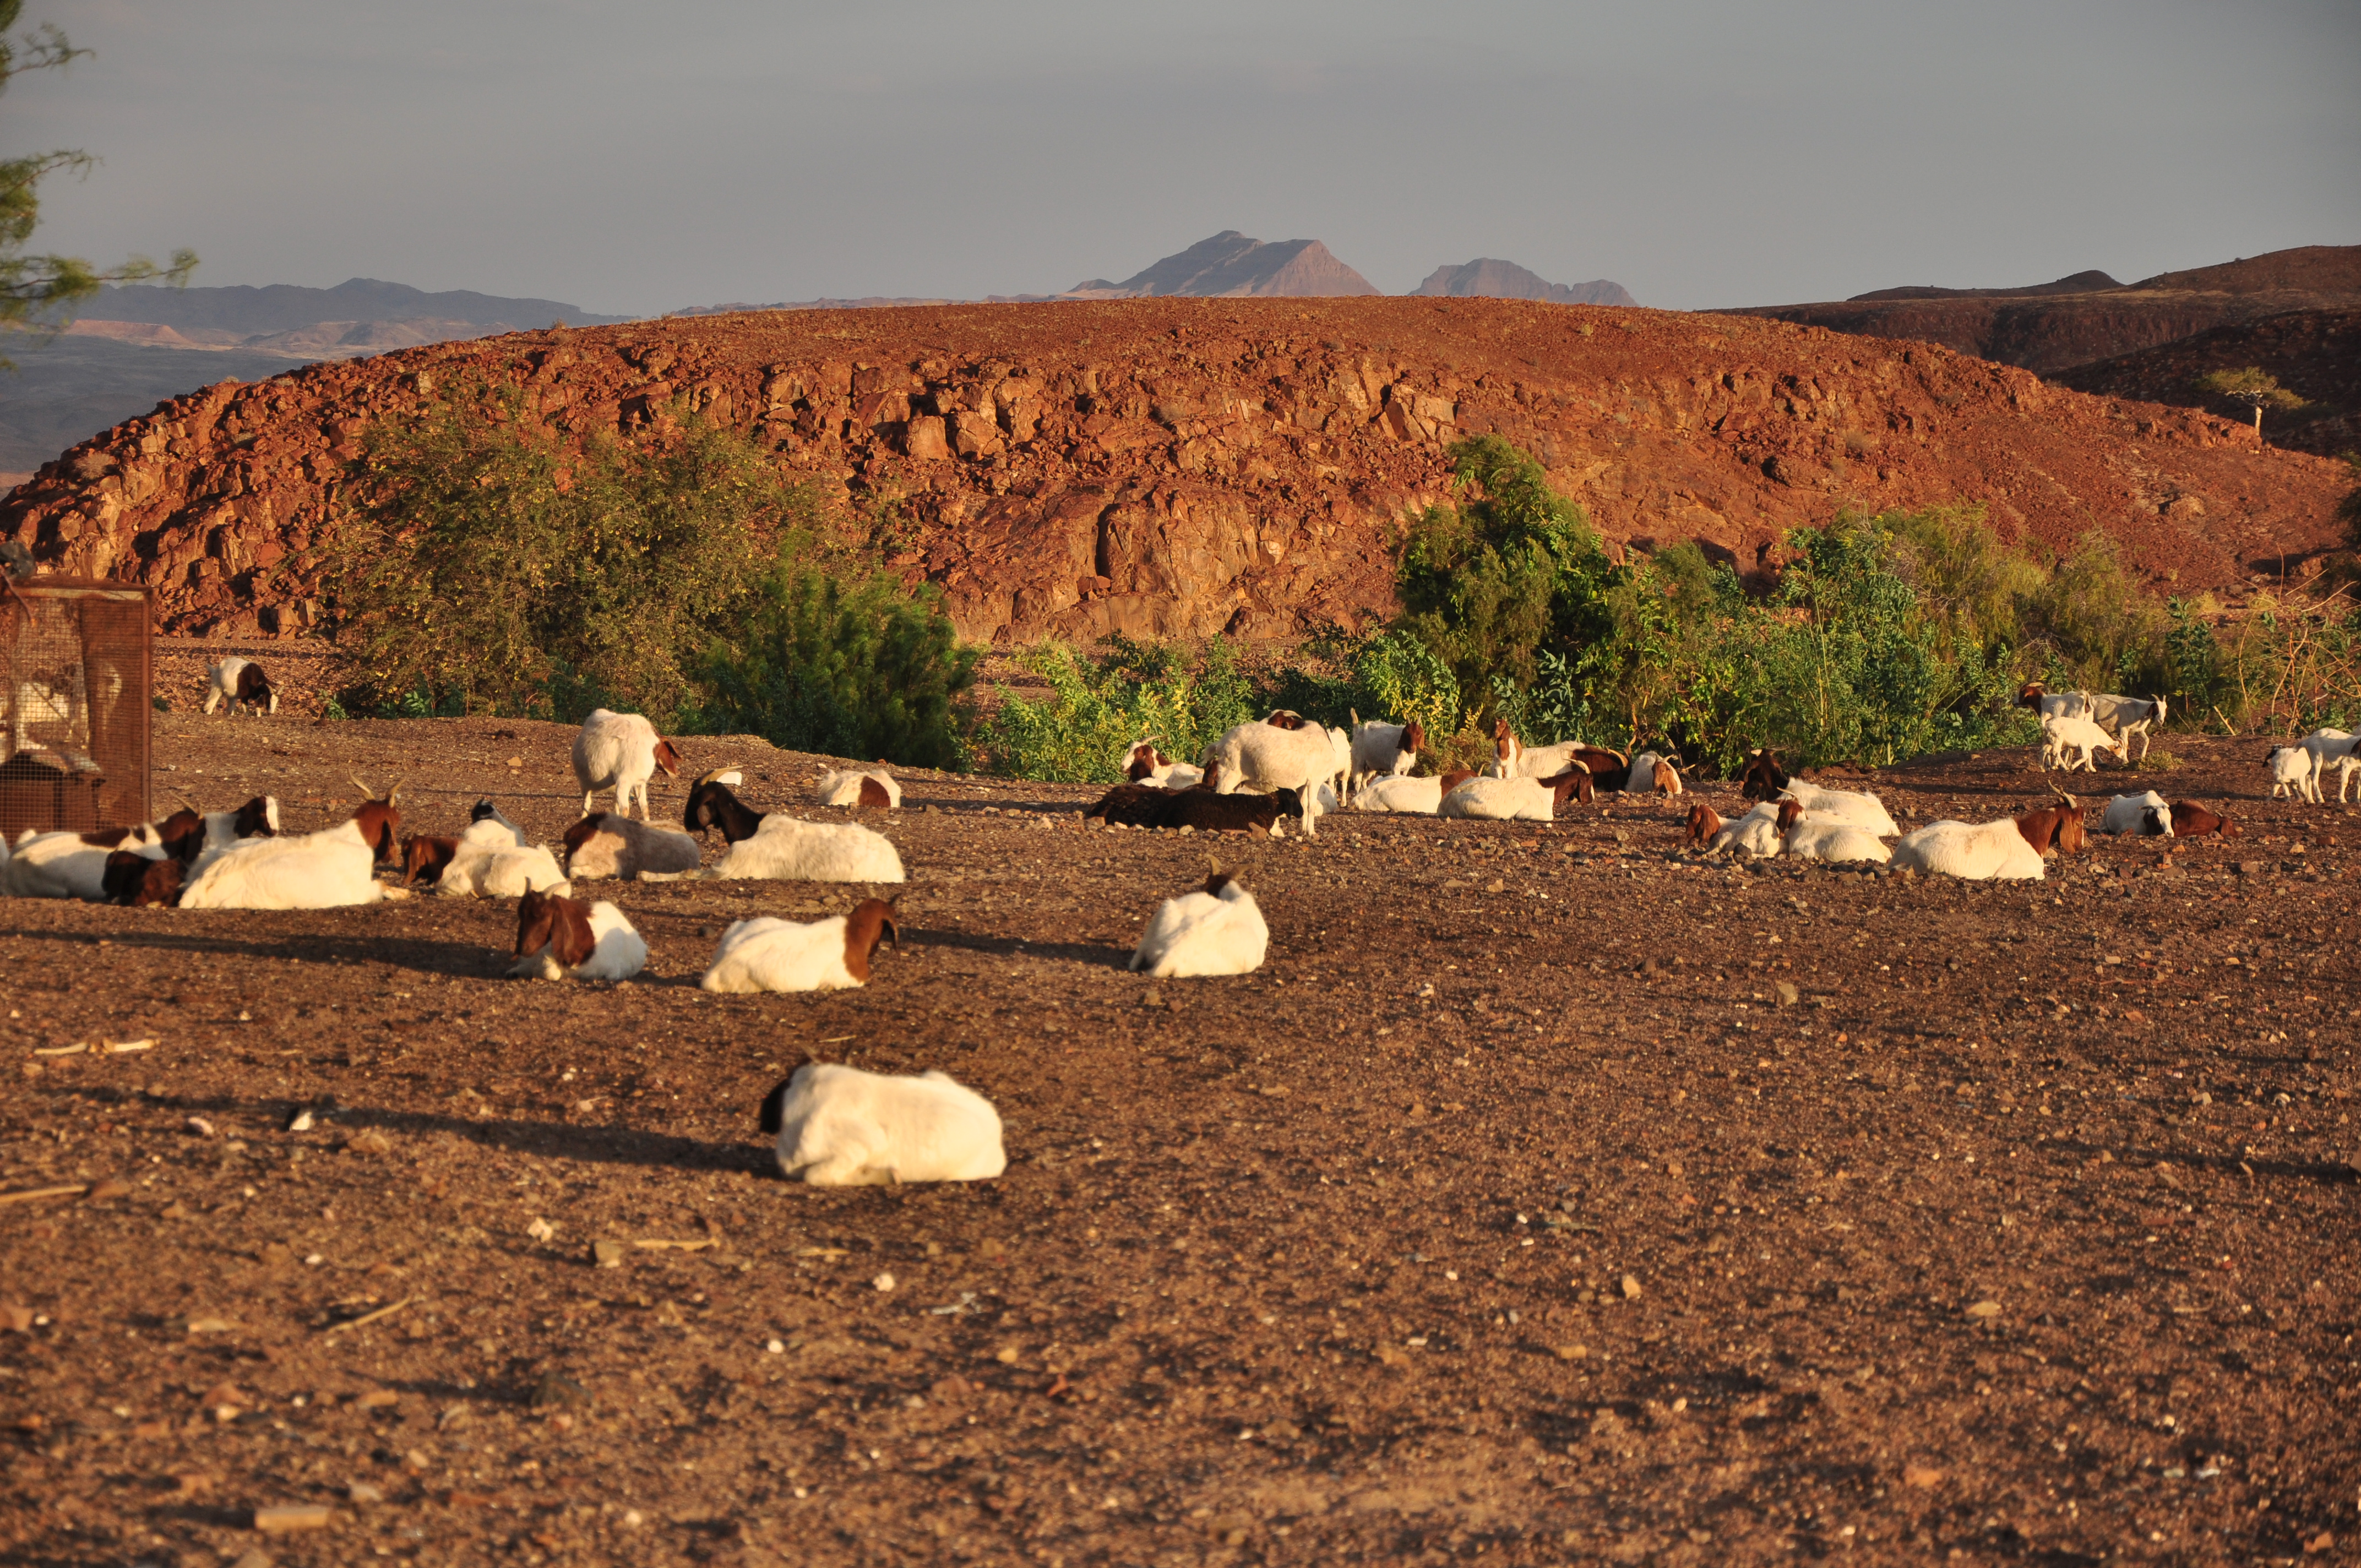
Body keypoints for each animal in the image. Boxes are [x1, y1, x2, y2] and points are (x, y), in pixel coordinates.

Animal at [202, 656, 277, 717]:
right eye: (268, 698)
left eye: (276, 702)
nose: (271, 713)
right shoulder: (244, 696)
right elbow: (246, 709)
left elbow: (258, 709)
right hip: (217, 687)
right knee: (213, 700)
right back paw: (209, 713)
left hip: (231, 695)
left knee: (231, 707)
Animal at [572, 709, 682, 821]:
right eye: (668, 749)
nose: (676, 772)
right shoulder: (624, 781)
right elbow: (625, 811)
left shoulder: (639, 782)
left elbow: (644, 808)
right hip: (585, 783)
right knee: (586, 803)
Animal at [1347, 710, 1425, 792]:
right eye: (1407, 734)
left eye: (1419, 734)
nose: (1411, 749)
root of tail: (1358, 731)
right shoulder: (1396, 767)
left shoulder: (1406, 768)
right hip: (1358, 761)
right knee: (1357, 782)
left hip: (1371, 765)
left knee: (1364, 780)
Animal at [2042, 713, 2127, 772]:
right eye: (2120, 749)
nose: (2125, 759)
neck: (2096, 733)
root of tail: (2047, 725)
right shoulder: (2083, 745)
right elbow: (2085, 756)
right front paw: (2073, 766)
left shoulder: (2089, 746)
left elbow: (2090, 756)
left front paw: (2091, 769)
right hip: (2057, 738)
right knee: (2056, 752)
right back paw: (2065, 768)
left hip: (2048, 739)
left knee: (2045, 750)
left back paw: (2044, 768)